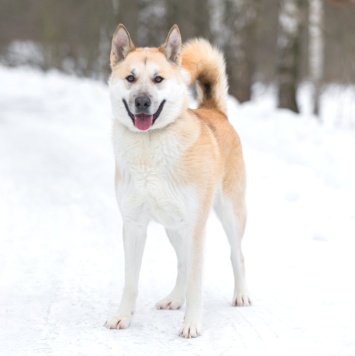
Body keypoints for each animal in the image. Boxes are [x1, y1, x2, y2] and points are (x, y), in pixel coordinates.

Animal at [105, 23, 250, 338]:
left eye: (158, 79)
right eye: (130, 78)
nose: (142, 102)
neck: (149, 148)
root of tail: (213, 110)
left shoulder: (195, 227)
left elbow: (197, 284)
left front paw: (192, 324)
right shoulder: (133, 226)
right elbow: (130, 281)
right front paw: (122, 317)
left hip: (229, 216)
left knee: (237, 256)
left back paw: (242, 295)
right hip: (174, 229)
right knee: (183, 264)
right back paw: (174, 299)